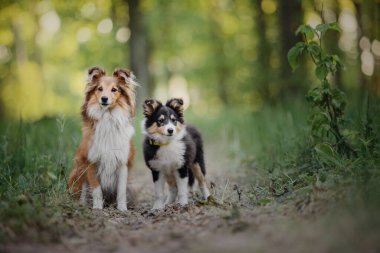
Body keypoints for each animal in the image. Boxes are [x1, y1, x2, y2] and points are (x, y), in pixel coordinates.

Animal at [68, 66, 137, 211]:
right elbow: (96, 189)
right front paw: (97, 207)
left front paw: (122, 208)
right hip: (78, 170)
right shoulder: (91, 162)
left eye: (114, 89)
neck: (108, 117)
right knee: (83, 190)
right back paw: (83, 204)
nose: (104, 99)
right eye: (99, 88)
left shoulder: (122, 163)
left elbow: (121, 190)